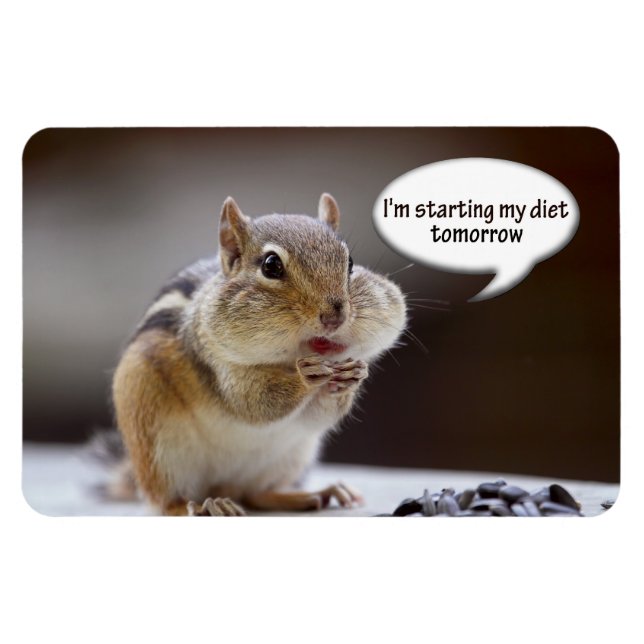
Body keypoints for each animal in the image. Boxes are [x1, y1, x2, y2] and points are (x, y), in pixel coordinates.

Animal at [111, 193, 407, 515]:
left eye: (350, 262)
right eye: (271, 265)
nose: (334, 317)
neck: (283, 361)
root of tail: (224, 487)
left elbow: (320, 414)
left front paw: (354, 376)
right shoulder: (219, 364)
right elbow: (254, 401)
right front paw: (306, 376)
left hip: (292, 456)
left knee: (257, 494)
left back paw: (316, 493)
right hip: (155, 446)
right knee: (166, 502)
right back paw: (202, 506)